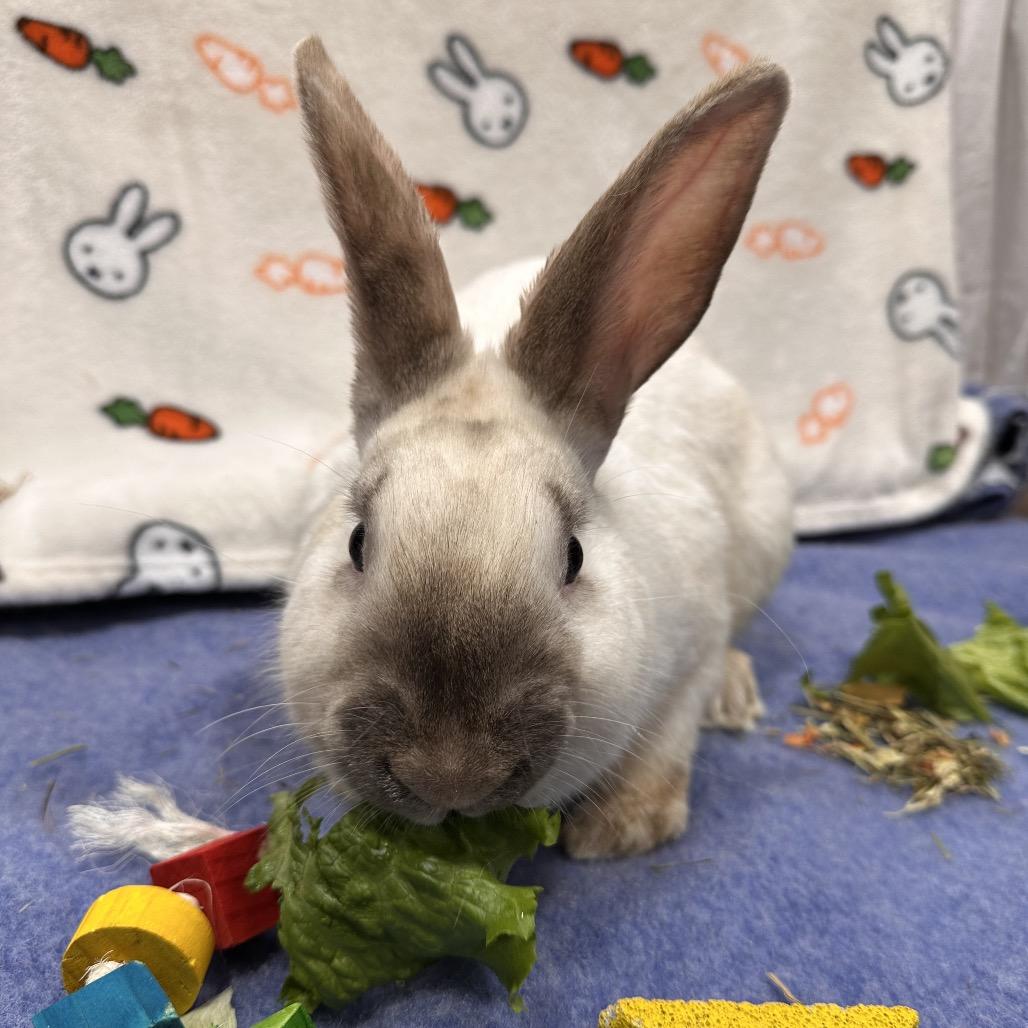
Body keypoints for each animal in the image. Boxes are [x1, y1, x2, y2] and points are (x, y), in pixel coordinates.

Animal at [279, 36, 794, 859]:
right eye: (356, 543)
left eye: (573, 557)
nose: (448, 776)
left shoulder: (695, 637)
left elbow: (668, 734)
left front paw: (623, 830)